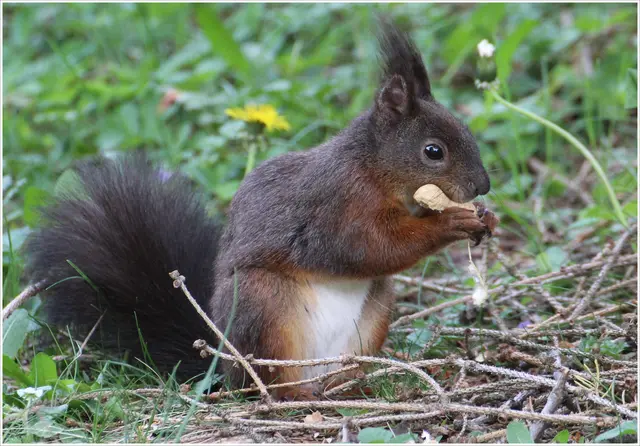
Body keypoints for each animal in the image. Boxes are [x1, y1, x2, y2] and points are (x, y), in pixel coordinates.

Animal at [23, 21, 497, 400]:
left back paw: (354, 385)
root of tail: (224, 365)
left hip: (372, 314)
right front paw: (451, 221)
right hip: (264, 305)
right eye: (433, 151)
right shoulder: (334, 206)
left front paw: (484, 217)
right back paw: (296, 393)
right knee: (268, 383)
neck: (373, 170)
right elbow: (364, 247)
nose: (484, 186)